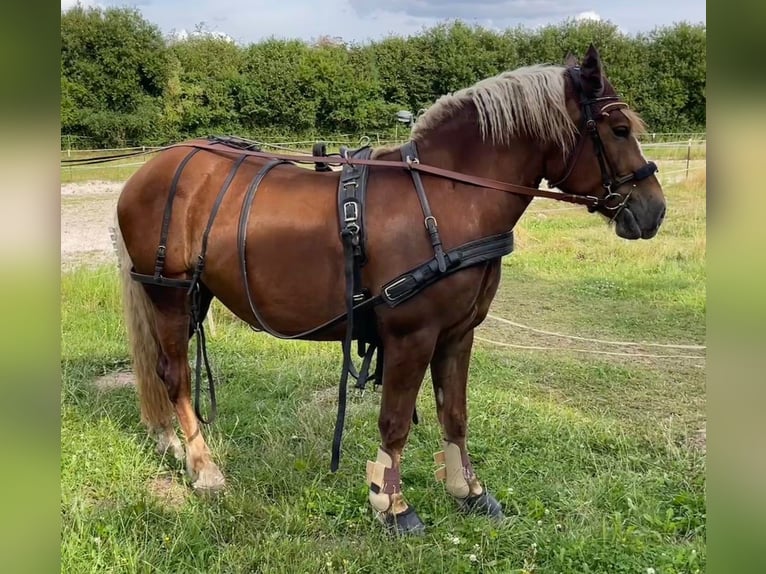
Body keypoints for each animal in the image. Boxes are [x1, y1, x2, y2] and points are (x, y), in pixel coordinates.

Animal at [114, 45, 666, 535]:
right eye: (618, 130)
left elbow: (455, 413)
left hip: (194, 297)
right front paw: (391, 505)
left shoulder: (458, 333)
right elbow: (395, 421)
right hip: (169, 295)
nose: (654, 210)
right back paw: (203, 466)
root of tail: (152, 169)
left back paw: (170, 441)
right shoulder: (411, 335)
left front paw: (469, 491)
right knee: (176, 374)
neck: (447, 197)